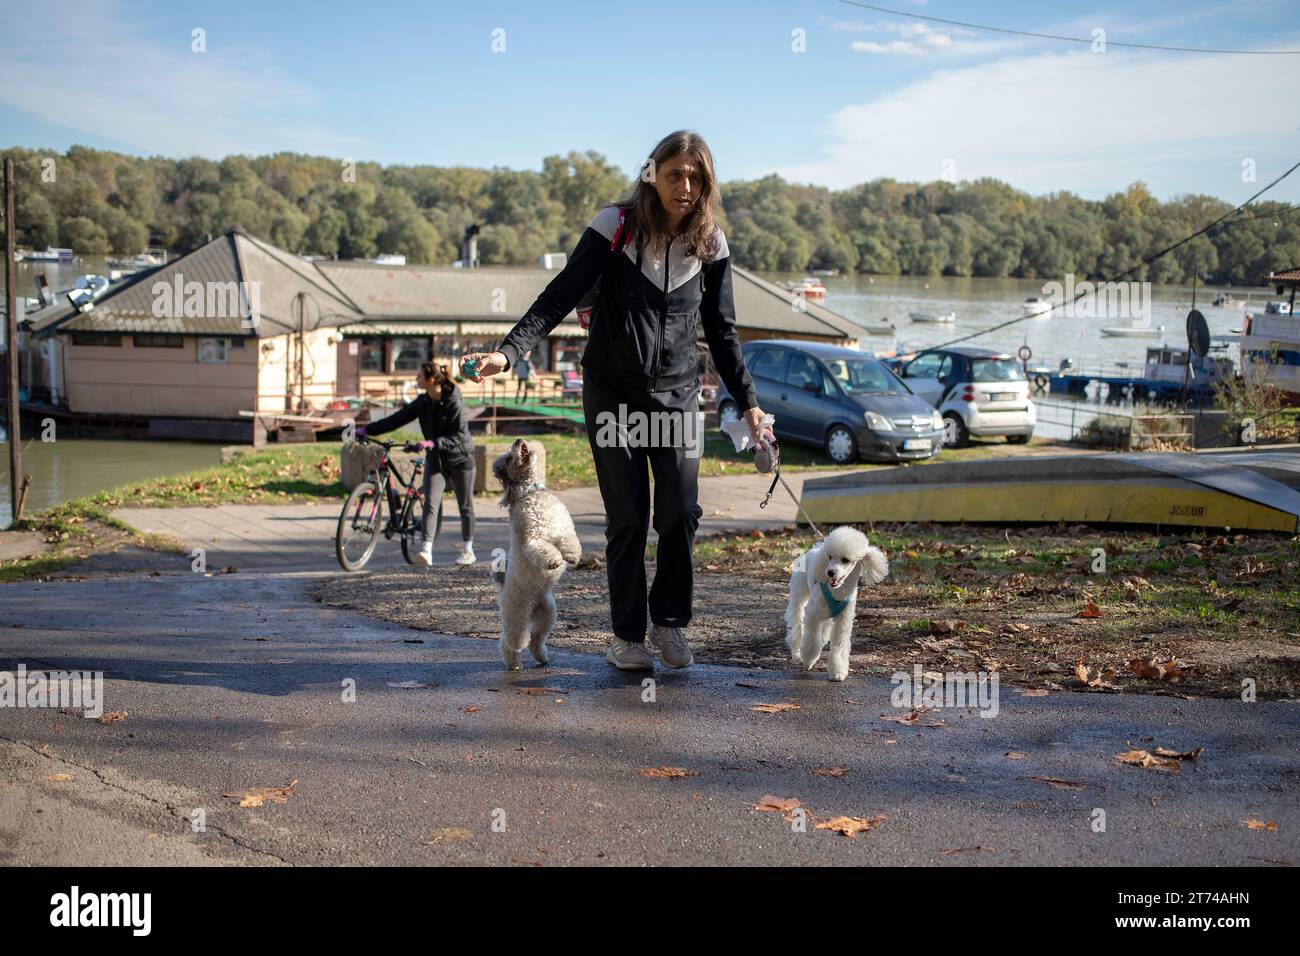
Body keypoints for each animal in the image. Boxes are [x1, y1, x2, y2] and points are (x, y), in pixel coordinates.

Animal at [493, 439, 582, 671]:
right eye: (509, 458)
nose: (519, 441)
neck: (531, 493)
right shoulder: (533, 539)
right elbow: (544, 549)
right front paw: (554, 561)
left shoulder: (563, 530)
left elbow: (569, 542)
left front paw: (571, 556)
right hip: (517, 616)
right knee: (511, 641)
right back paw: (513, 663)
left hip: (547, 615)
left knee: (536, 639)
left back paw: (541, 657)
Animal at [785, 528, 889, 686]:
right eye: (830, 557)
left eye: (845, 559)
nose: (830, 572)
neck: (838, 591)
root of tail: (814, 549)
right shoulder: (813, 615)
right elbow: (811, 639)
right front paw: (808, 660)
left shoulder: (843, 620)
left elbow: (839, 646)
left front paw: (838, 672)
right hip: (799, 596)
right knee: (797, 623)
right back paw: (797, 655)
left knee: (823, 630)